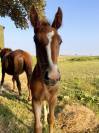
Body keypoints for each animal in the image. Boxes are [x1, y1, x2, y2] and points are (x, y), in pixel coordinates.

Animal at [29, 5, 62, 133]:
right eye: (35, 40)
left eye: (60, 41)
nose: (52, 77)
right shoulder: (36, 100)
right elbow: (37, 126)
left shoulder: (53, 98)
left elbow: (51, 120)